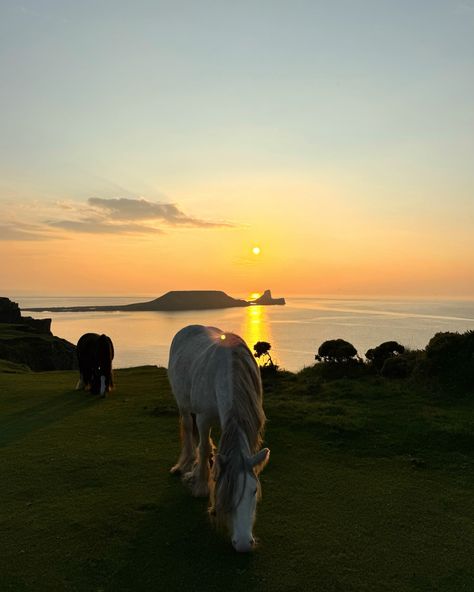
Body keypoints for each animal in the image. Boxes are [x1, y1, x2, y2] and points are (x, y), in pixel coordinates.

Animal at [168, 324, 268, 552]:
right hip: (184, 404)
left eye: (254, 490)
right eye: (227, 492)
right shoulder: (204, 418)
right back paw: (186, 465)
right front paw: (201, 487)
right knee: (189, 430)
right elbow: (204, 448)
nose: (244, 544)